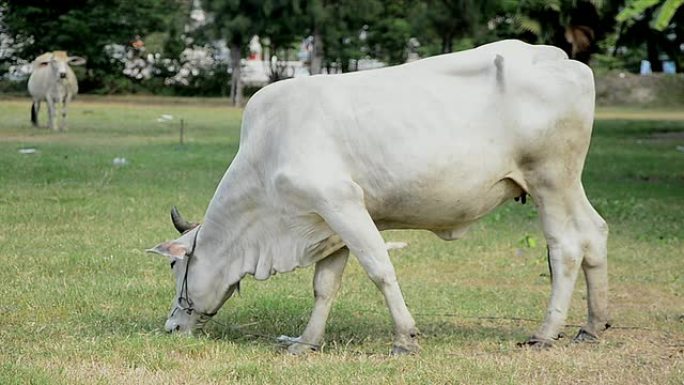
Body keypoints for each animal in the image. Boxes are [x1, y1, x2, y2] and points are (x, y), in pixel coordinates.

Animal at [148, 39, 608, 354]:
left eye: (173, 263)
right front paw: (306, 342)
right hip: (567, 184)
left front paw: (405, 338)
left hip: (550, 180)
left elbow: (380, 269)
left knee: (566, 246)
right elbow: (324, 286)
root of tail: (560, 58)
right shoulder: (327, 223)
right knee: (594, 233)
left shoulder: (340, 203)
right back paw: (591, 326)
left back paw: (546, 332)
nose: (172, 326)